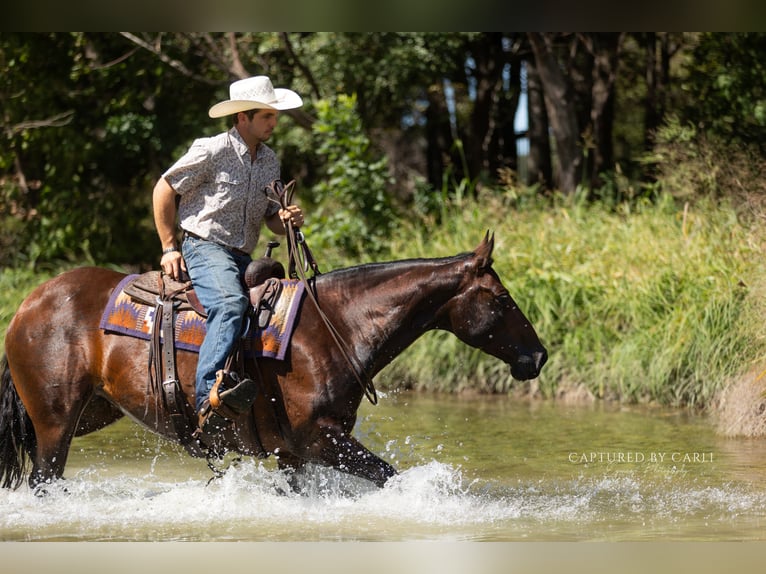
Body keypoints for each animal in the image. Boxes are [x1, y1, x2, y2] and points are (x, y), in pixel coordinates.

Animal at [0, 233, 547, 492]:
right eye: (502, 300)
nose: (538, 355)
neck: (336, 326)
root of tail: (28, 303)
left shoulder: (293, 452)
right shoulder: (320, 438)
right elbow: (390, 476)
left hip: (91, 411)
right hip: (55, 422)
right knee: (45, 481)